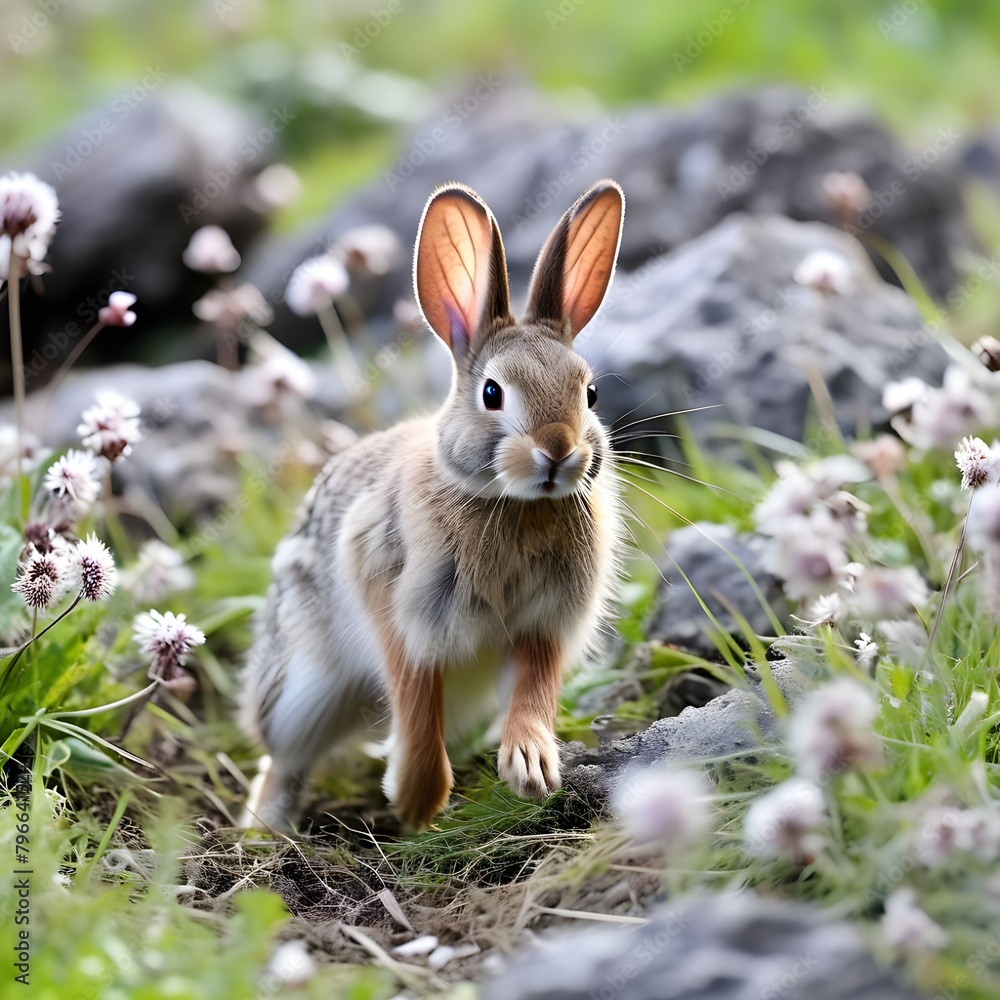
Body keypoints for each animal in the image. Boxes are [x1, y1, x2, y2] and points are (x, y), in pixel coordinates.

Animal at [239, 178, 626, 831]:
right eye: (492, 393)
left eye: (590, 392)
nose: (558, 451)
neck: (514, 502)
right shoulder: (399, 599)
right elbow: (415, 692)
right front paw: (416, 797)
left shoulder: (545, 622)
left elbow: (535, 688)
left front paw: (531, 765)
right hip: (300, 692)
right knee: (283, 761)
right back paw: (266, 830)